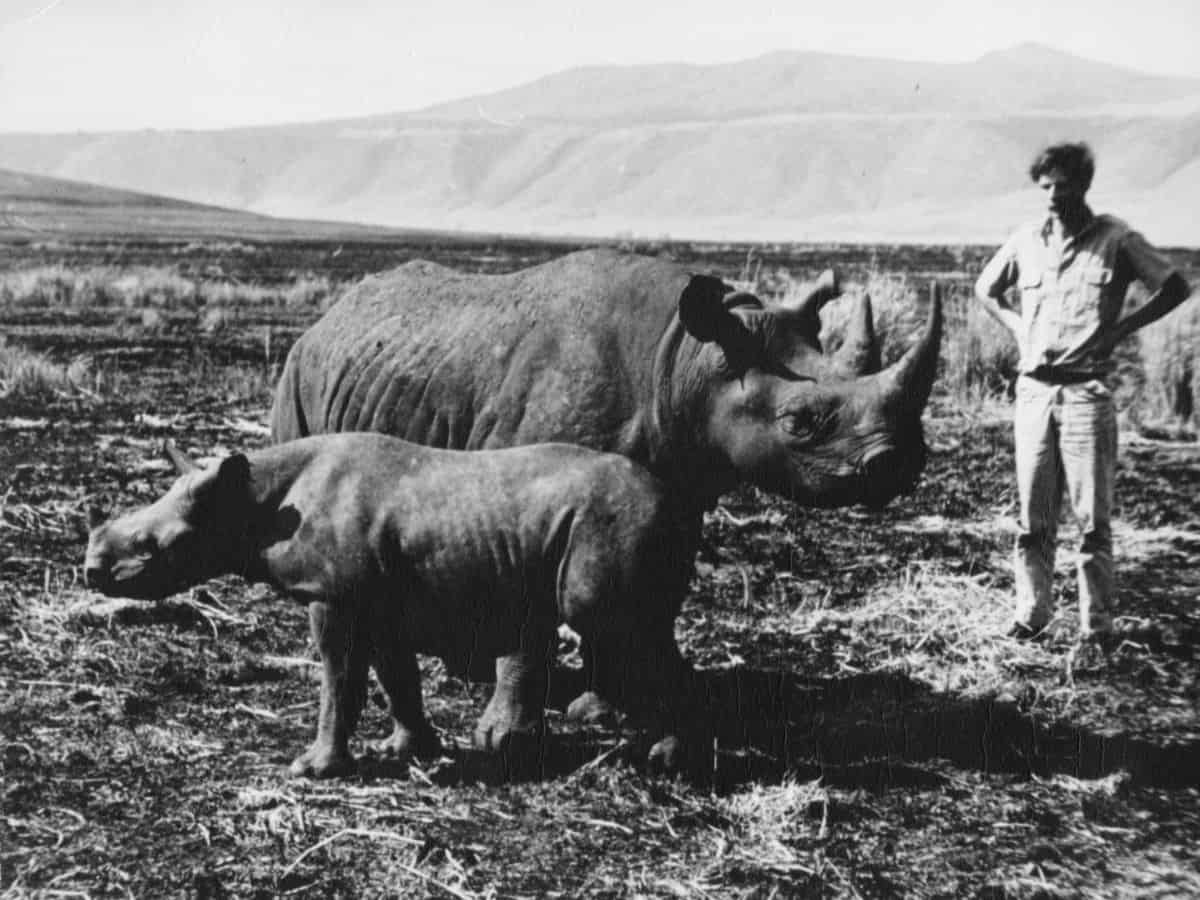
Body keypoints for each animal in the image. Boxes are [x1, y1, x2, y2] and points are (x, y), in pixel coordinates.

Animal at [84, 435, 698, 777]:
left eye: (151, 547)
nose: (91, 571)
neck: (253, 501)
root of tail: (674, 500)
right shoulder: (375, 597)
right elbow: (393, 674)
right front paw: (407, 748)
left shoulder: (333, 593)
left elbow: (340, 678)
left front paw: (314, 770)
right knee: (636, 630)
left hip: (616, 522)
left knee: (620, 626)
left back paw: (667, 761)